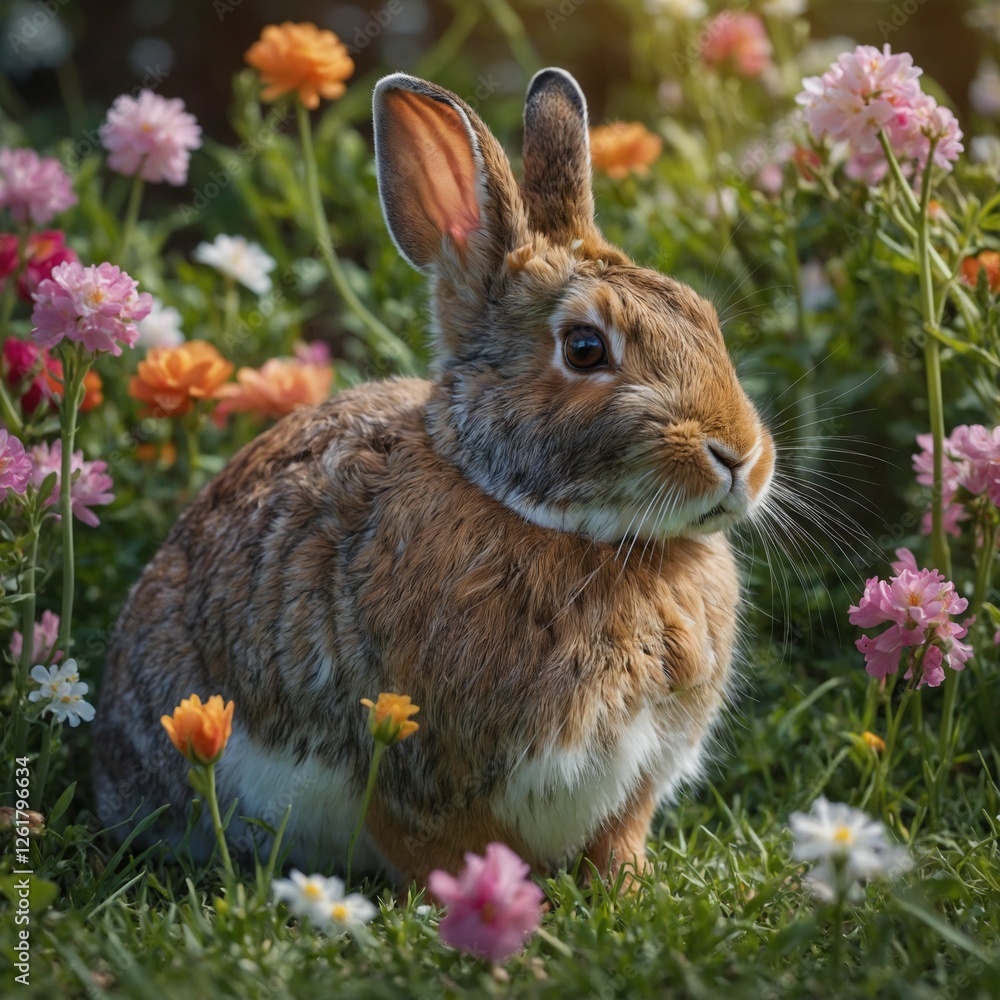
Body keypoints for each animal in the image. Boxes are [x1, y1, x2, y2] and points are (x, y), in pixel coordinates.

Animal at [93, 67, 775, 887]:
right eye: (584, 348)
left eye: (703, 316)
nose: (741, 455)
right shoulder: (410, 768)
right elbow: (439, 846)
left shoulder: (635, 776)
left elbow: (618, 838)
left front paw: (629, 887)